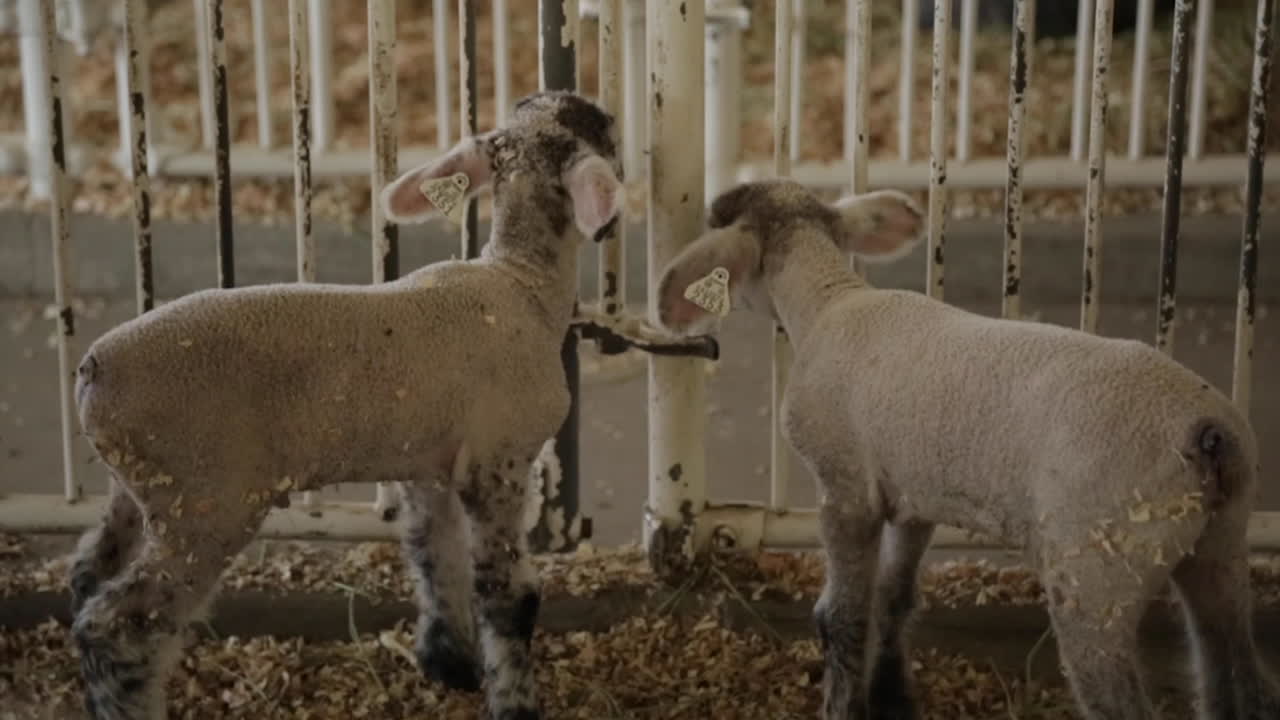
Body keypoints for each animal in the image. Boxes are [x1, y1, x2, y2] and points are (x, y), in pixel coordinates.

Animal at [67, 90, 624, 720]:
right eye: (607, 131)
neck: (520, 284)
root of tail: (92, 370)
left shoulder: (428, 463)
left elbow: (435, 555)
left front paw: (446, 662)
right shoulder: (498, 460)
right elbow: (509, 598)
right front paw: (514, 702)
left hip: (135, 489)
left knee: (89, 570)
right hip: (204, 501)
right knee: (115, 625)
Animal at [652, 178, 1280, 720]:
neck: (829, 302)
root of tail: (1208, 433)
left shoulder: (845, 488)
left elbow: (843, 618)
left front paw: (844, 704)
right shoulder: (913, 496)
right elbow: (895, 597)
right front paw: (893, 698)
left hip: (1099, 572)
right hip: (1220, 546)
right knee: (1237, 674)